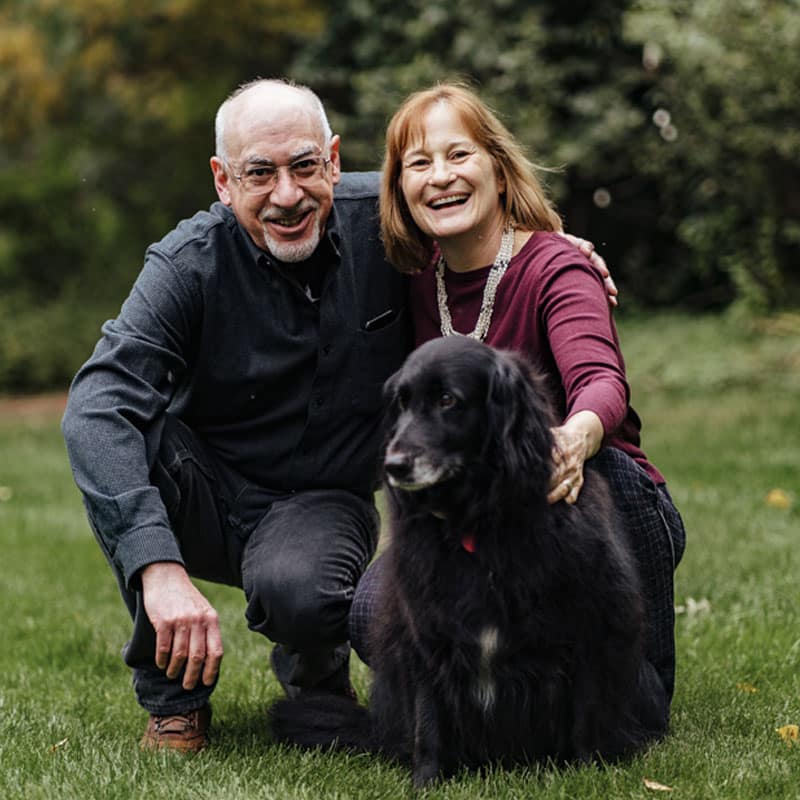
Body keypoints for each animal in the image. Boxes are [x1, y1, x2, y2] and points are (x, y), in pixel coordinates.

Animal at [272, 334, 664, 784]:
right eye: (402, 403)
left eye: (447, 400)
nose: (393, 466)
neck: (476, 522)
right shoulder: (425, 633)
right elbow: (428, 718)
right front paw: (425, 782)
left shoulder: (590, 626)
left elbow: (586, 714)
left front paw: (586, 774)